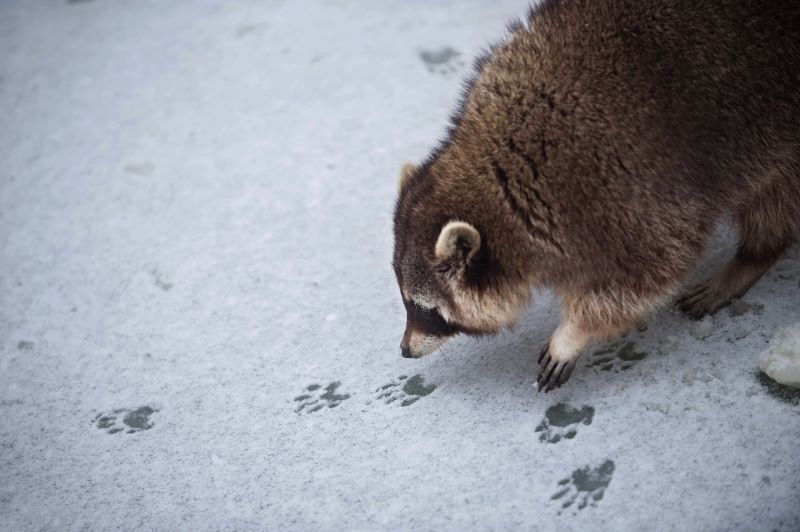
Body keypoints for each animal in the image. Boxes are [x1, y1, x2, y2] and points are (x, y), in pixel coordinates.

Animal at [390, 0, 796, 390]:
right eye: (407, 302)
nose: (405, 350)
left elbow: (647, 274)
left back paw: (753, 256)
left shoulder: (633, 192)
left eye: (425, 310)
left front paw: (573, 332)